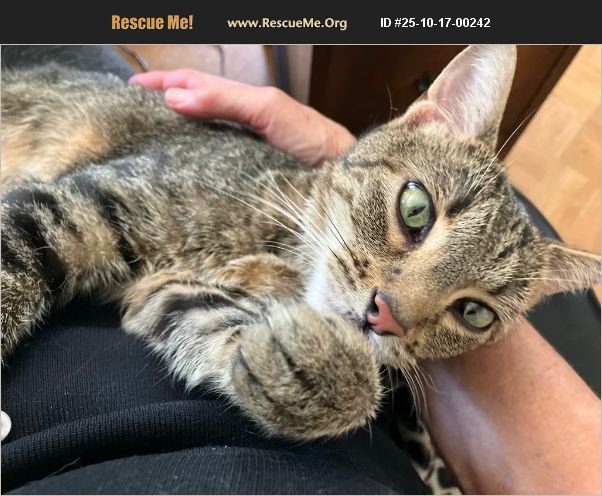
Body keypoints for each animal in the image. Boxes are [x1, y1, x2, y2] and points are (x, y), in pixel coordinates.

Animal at [1, 44, 599, 440]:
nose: (385, 316)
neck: (281, 249)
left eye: (474, 314)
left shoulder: (165, 289)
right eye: (416, 209)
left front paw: (313, 369)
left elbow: (213, 322)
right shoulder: (87, 204)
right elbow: (14, 268)